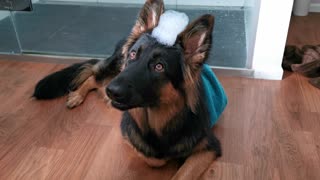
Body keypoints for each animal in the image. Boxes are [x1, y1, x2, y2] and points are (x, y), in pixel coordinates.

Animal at [32, 0, 229, 179]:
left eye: (159, 67)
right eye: (133, 54)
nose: (112, 91)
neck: (157, 121)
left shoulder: (209, 148)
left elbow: (181, 173)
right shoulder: (129, 135)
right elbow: (153, 158)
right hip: (115, 69)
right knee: (93, 77)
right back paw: (78, 96)